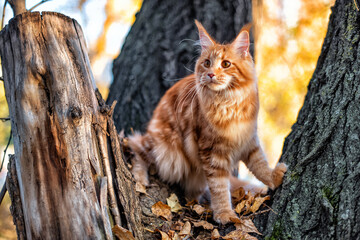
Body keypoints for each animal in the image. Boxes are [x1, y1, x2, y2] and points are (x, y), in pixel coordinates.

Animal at [128, 19, 288, 224]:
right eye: (207, 63)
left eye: (226, 64)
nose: (211, 74)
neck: (229, 103)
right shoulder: (211, 151)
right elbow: (219, 187)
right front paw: (225, 214)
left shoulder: (248, 139)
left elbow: (259, 165)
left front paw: (273, 178)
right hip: (162, 145)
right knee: (135, 146)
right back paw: (140, 179)